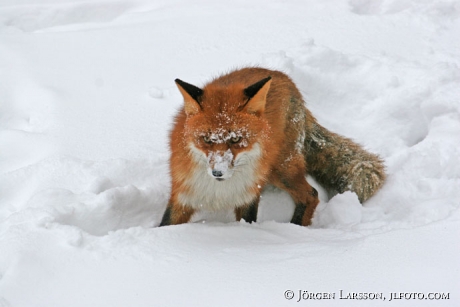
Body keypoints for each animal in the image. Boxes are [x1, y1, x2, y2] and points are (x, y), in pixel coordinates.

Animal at [160, 68, 386, 226]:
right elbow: (166, 225)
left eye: (236, 139)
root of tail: (285, 79)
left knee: (311, 195)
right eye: (206, 139)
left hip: (280, 169)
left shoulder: (248, 198)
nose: (218, 173)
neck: (219, 191)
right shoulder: (183, 196)